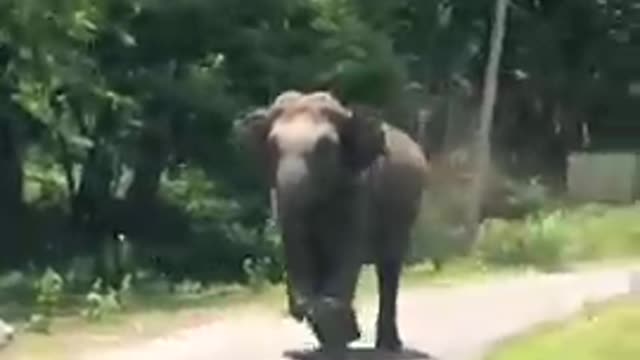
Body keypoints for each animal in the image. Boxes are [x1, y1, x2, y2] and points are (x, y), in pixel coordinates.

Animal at [236, 90, 430, 358]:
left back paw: (388, 346)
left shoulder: (358, 190)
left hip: (406, 212)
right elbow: (301, 251)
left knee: (389, 268)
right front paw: (334, 335)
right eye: (272, 146)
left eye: (325, 148)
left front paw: (341, 333)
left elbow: (345, 255)